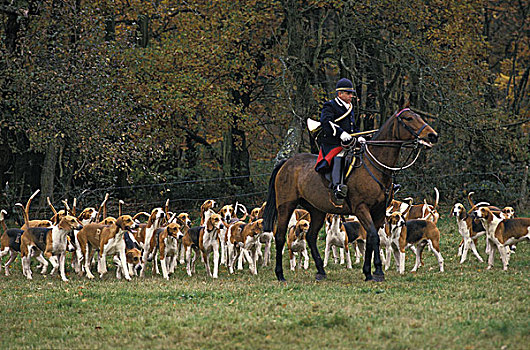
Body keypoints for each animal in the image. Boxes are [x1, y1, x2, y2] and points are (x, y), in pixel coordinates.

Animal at [260, 106, 438, 282]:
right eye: (408, 118)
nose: (433, 135)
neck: (374, 167)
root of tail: (286, 162)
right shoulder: (361, 208)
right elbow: (373, 236)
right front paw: (377, 271)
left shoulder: (379, 211)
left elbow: (372, 238)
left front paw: (370, 272)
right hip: (286, 206)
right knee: (280, 236)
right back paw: (280, 274)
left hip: (317, 210)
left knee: (310, 236)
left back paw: (321, 272)